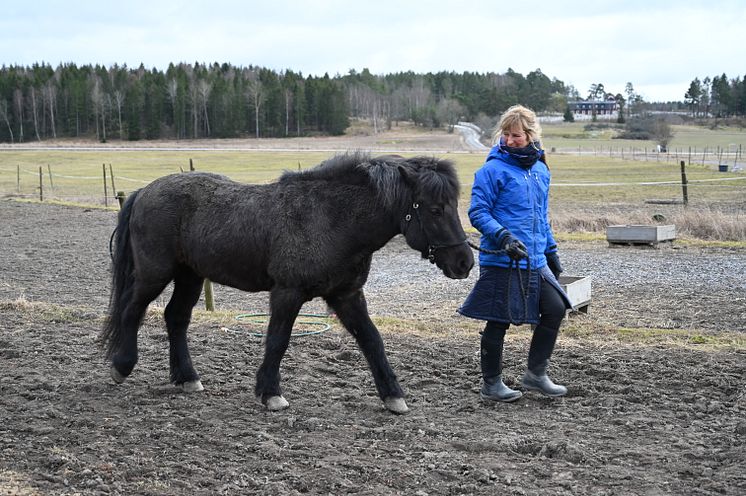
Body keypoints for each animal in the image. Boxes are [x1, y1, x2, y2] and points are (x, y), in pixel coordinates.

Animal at [100, 153, 470, 412]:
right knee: (132, 311)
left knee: (175, 318)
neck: (330, 218)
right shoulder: (287, 294)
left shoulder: (347, 296)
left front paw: (393, 396)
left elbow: (372, 341)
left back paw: (187, 378)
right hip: (155, 273)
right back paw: (122, 366)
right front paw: (270, 393)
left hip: (190, 276)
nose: (465, 262)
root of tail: (145, 191)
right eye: (436, 209)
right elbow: (278, 340)